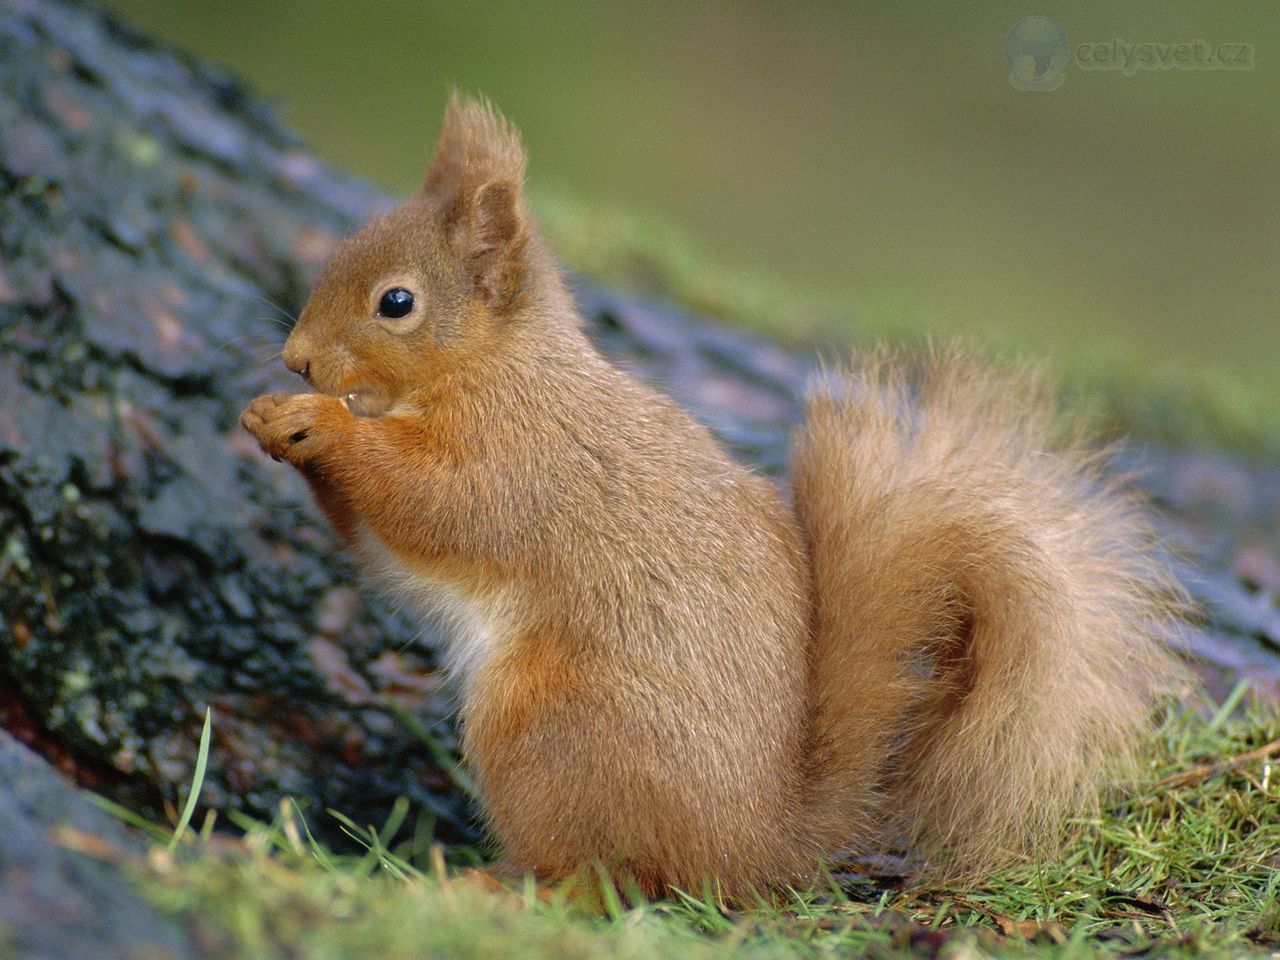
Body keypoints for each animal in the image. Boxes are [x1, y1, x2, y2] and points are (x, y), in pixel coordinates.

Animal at [240, 96, 1177, 896]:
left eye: (396, 302)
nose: (297, 359)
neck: (495, 369)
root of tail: (752, 843)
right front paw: (268, 418)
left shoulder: (517, 463)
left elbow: (428, 502)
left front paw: (321, 424)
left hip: (550, 726)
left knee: (609, 878)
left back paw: (489, 885)